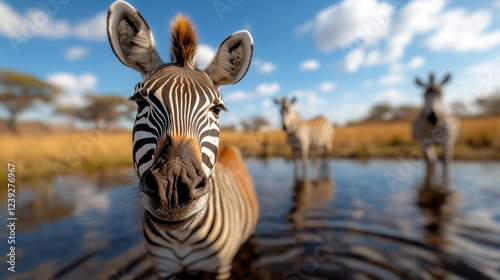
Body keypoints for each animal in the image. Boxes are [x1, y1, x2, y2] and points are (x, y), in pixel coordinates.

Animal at [108, 1, 260, 278]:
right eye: (141, 102)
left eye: (216, 109)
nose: (172, 188)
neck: (181, 237)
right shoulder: (164, 267)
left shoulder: (221, 266)